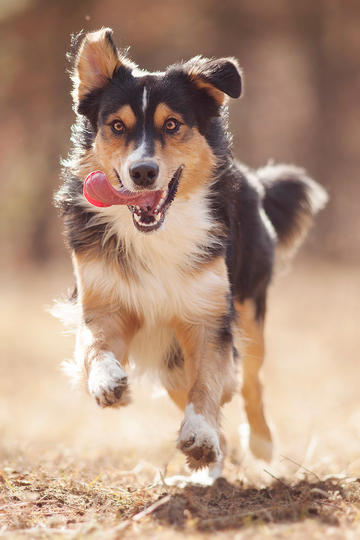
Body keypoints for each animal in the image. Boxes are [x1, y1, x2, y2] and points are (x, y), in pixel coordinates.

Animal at [54, 28, 328, 476]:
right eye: (116, 126)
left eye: (172, 124)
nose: (142, 172)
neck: (158, 232)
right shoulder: (104, 300)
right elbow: (96, 345)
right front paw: (107, 382)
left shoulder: (208, 315)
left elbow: (209, 383)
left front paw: (199, 434)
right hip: (169, 358)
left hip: (248, 310)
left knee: (250, 381)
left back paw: (259, 444)